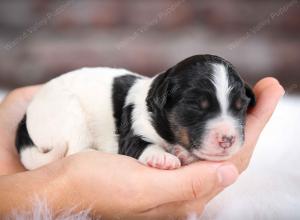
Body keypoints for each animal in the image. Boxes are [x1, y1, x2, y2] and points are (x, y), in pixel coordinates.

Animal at [15, 54, 255, 170]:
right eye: (196, 106)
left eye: (240, 107)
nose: (228, 139)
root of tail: (26, 116)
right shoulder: (134, 129)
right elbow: (142, 145)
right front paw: (162, 158)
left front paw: (183, 153)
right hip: (68, 114)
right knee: (75, 151)